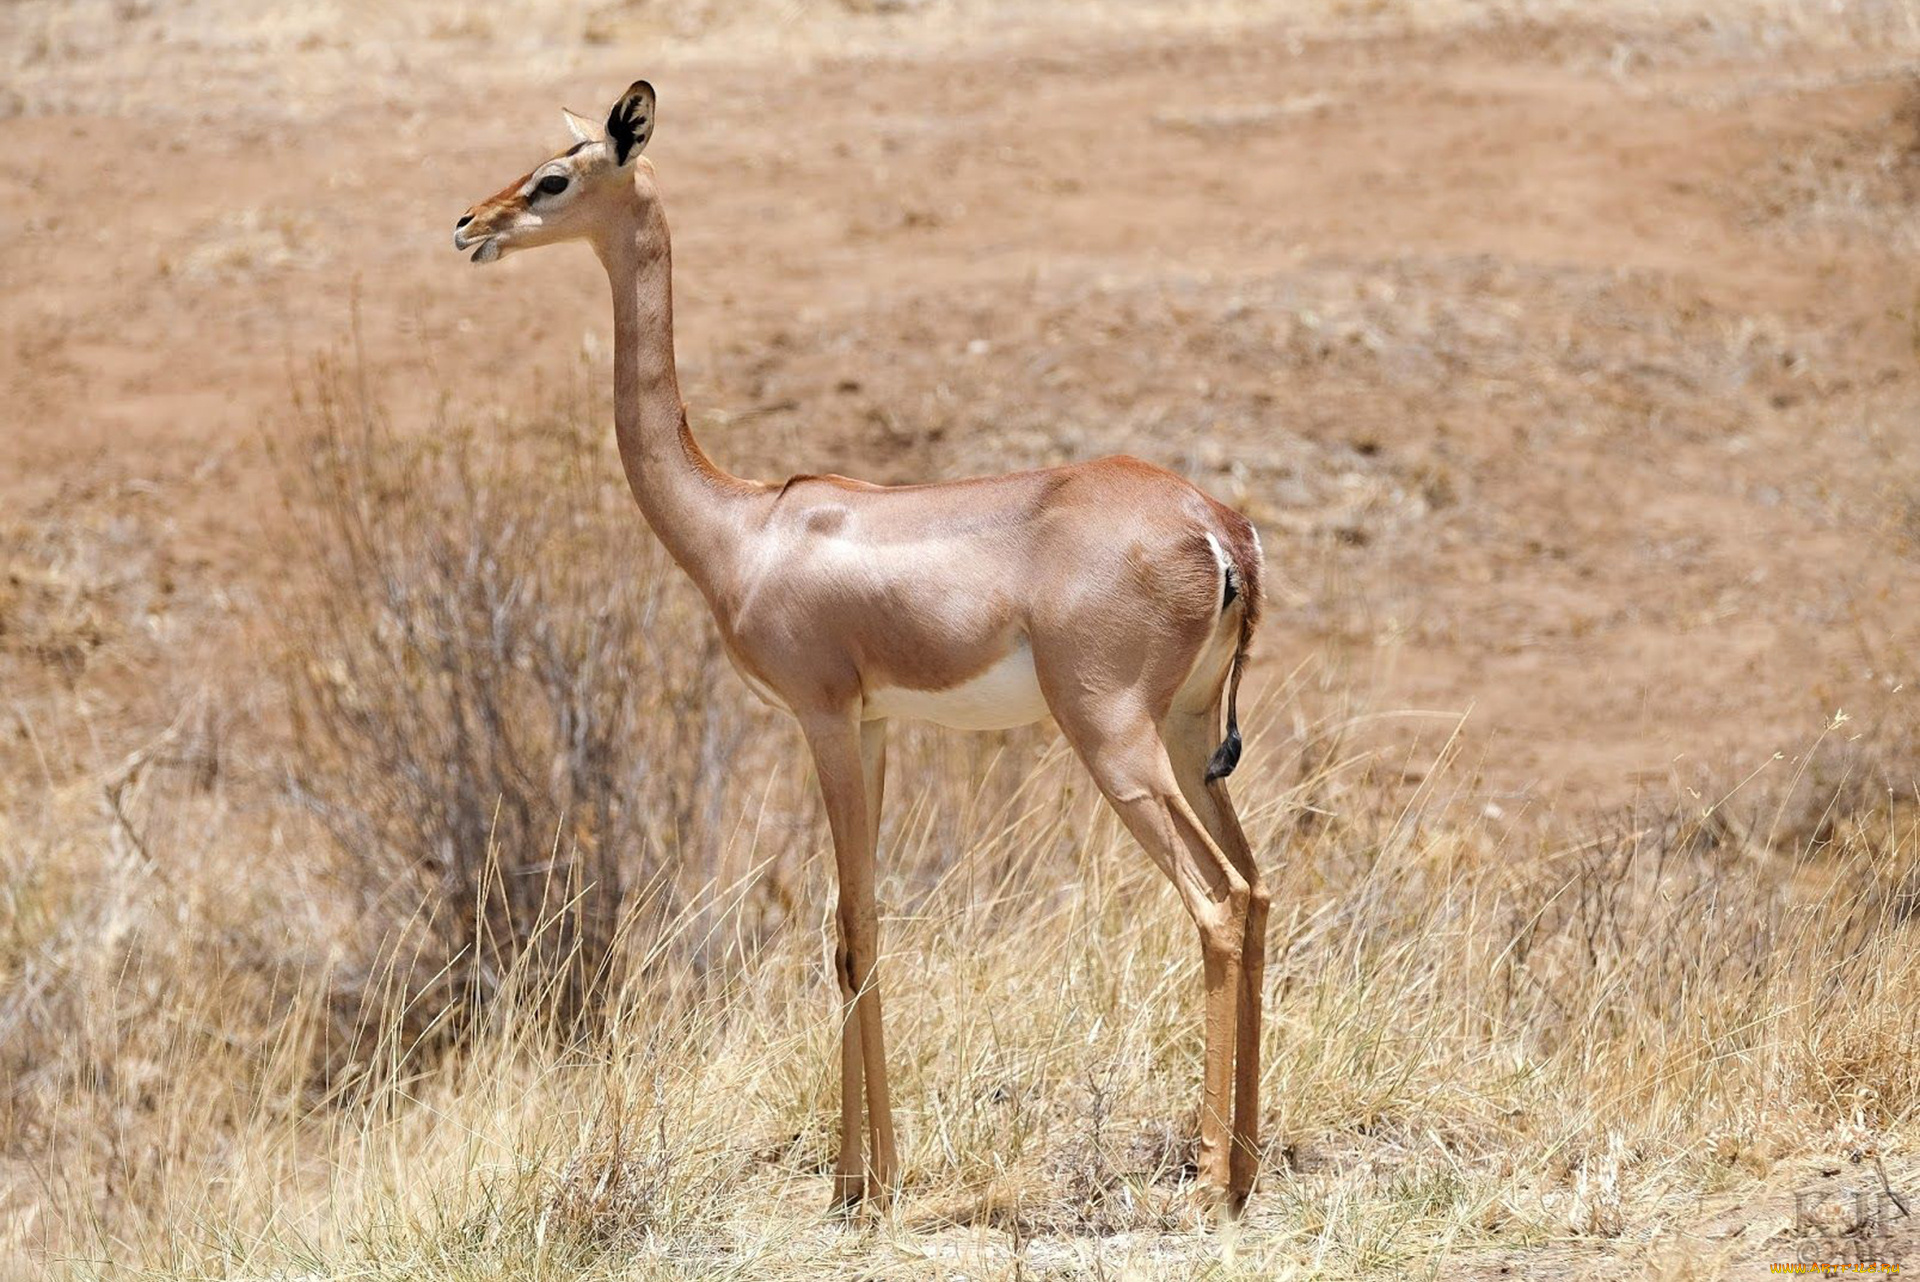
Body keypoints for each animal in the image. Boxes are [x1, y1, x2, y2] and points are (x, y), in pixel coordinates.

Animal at [453, 80, 1274, 1212]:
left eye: (553, 179)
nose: (469, 225)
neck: (747, 526)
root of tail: (1218, 526)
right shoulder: (879, 724)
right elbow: (865, 917)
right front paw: (867, 1174)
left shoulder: (824, 718)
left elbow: (848, 930)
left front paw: (861, 1186)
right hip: (1193, 736)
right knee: (1261, 889)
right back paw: (1247, 1165)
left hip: (1113, 738)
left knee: (1217, 902)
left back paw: (1205, 1183)